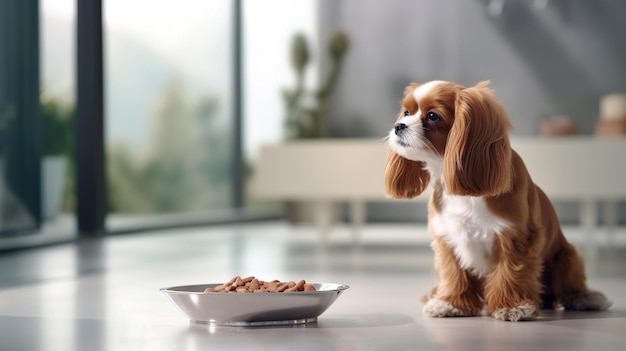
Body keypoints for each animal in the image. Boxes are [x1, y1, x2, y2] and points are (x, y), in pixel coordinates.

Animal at [382, 81, 608, 324]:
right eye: (407, 112)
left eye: (433, 116)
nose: (398, 126)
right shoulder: (447, 238)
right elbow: (454, 274)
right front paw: (451, 303)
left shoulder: (516, 238)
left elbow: (510, 273)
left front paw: (513, 307)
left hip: (567, 256)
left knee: (569, 286)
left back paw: (585, 299)